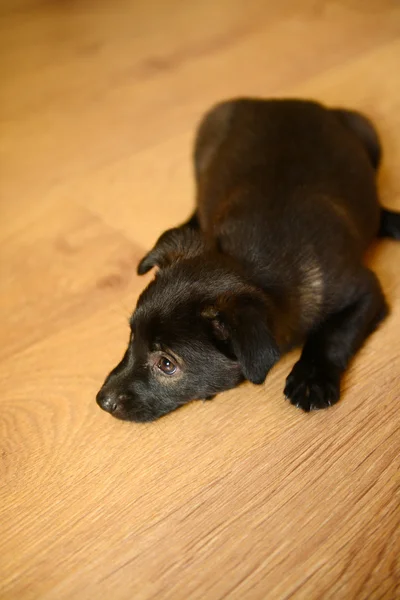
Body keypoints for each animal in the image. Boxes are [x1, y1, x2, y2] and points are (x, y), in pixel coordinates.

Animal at [97, 98, 400, 422]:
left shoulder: (364, 290)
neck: (252, 267)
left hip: (368, 135)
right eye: (131, 337)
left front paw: (311, 379)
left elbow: (334, 334)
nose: (102, 400)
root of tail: (280, 102)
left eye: (167, 364)